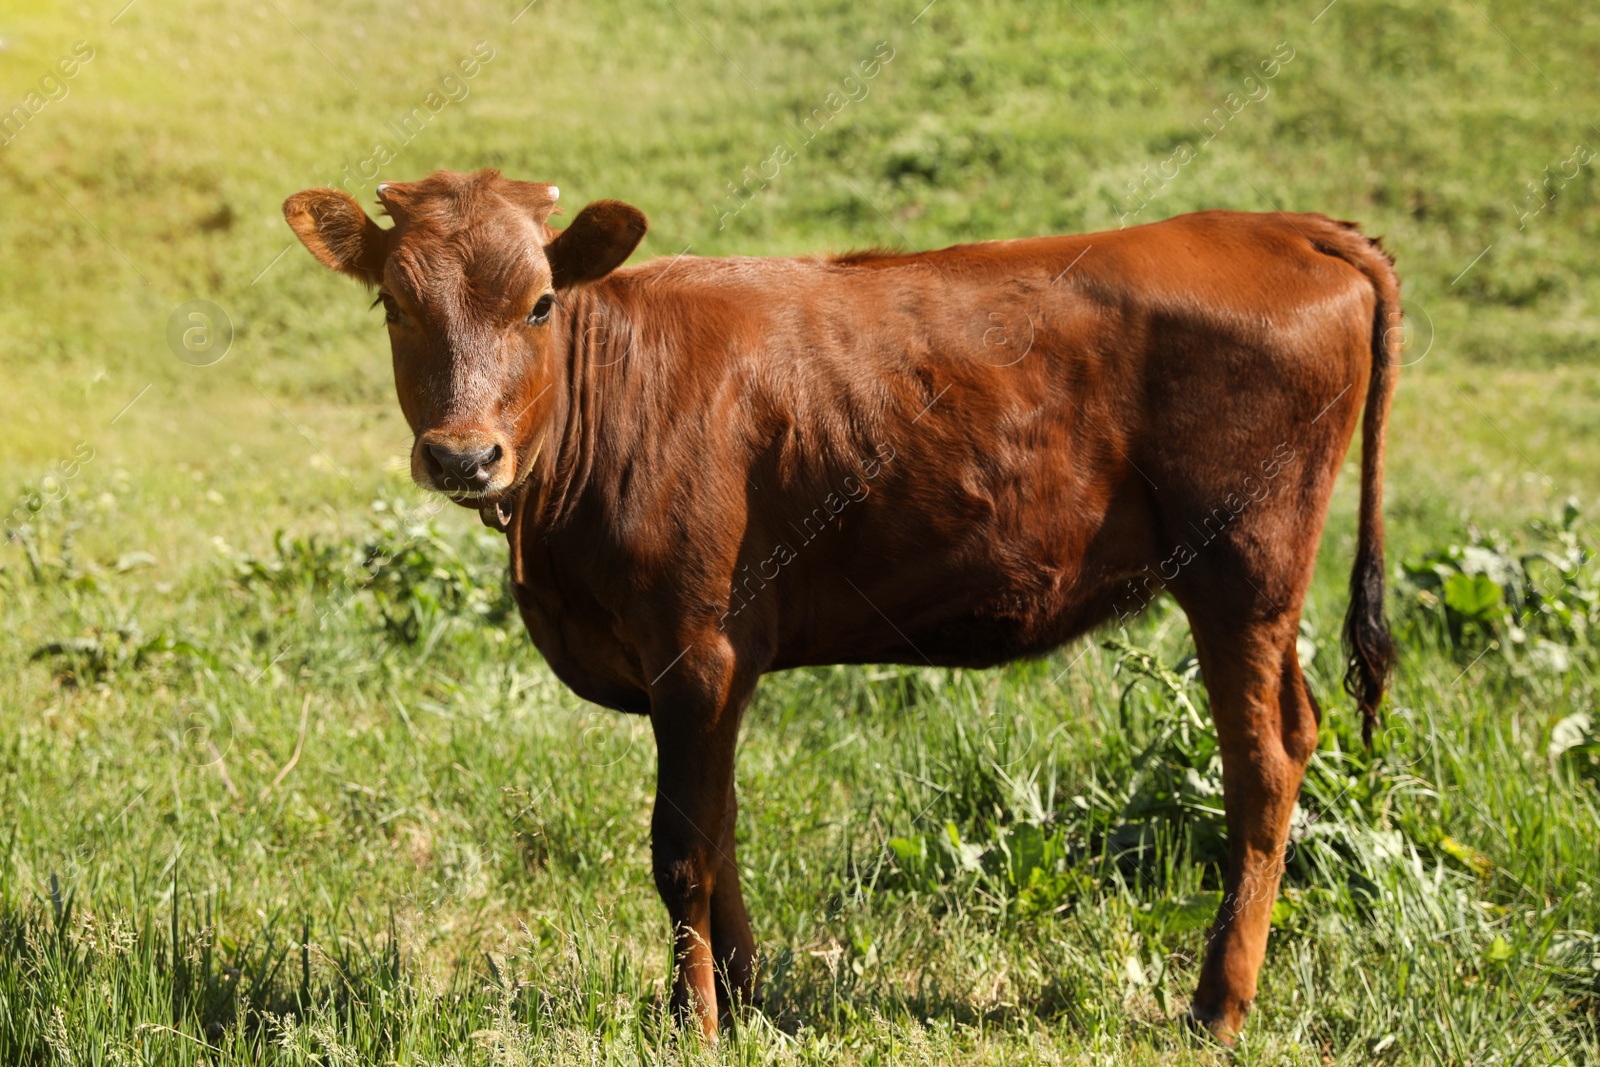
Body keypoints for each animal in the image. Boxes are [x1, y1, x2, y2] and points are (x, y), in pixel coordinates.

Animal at [288, 168, 1401, 1043]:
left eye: (540, 303)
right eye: (393, 304)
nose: (462, 454)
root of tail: (1285, 224)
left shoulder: (692, 648)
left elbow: (680, 847)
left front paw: (691, 1019)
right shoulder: (721, 666)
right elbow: (722, 827)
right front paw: (745, 999)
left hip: (1243, 569)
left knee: (1262, 761)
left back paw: (1217, 1005)